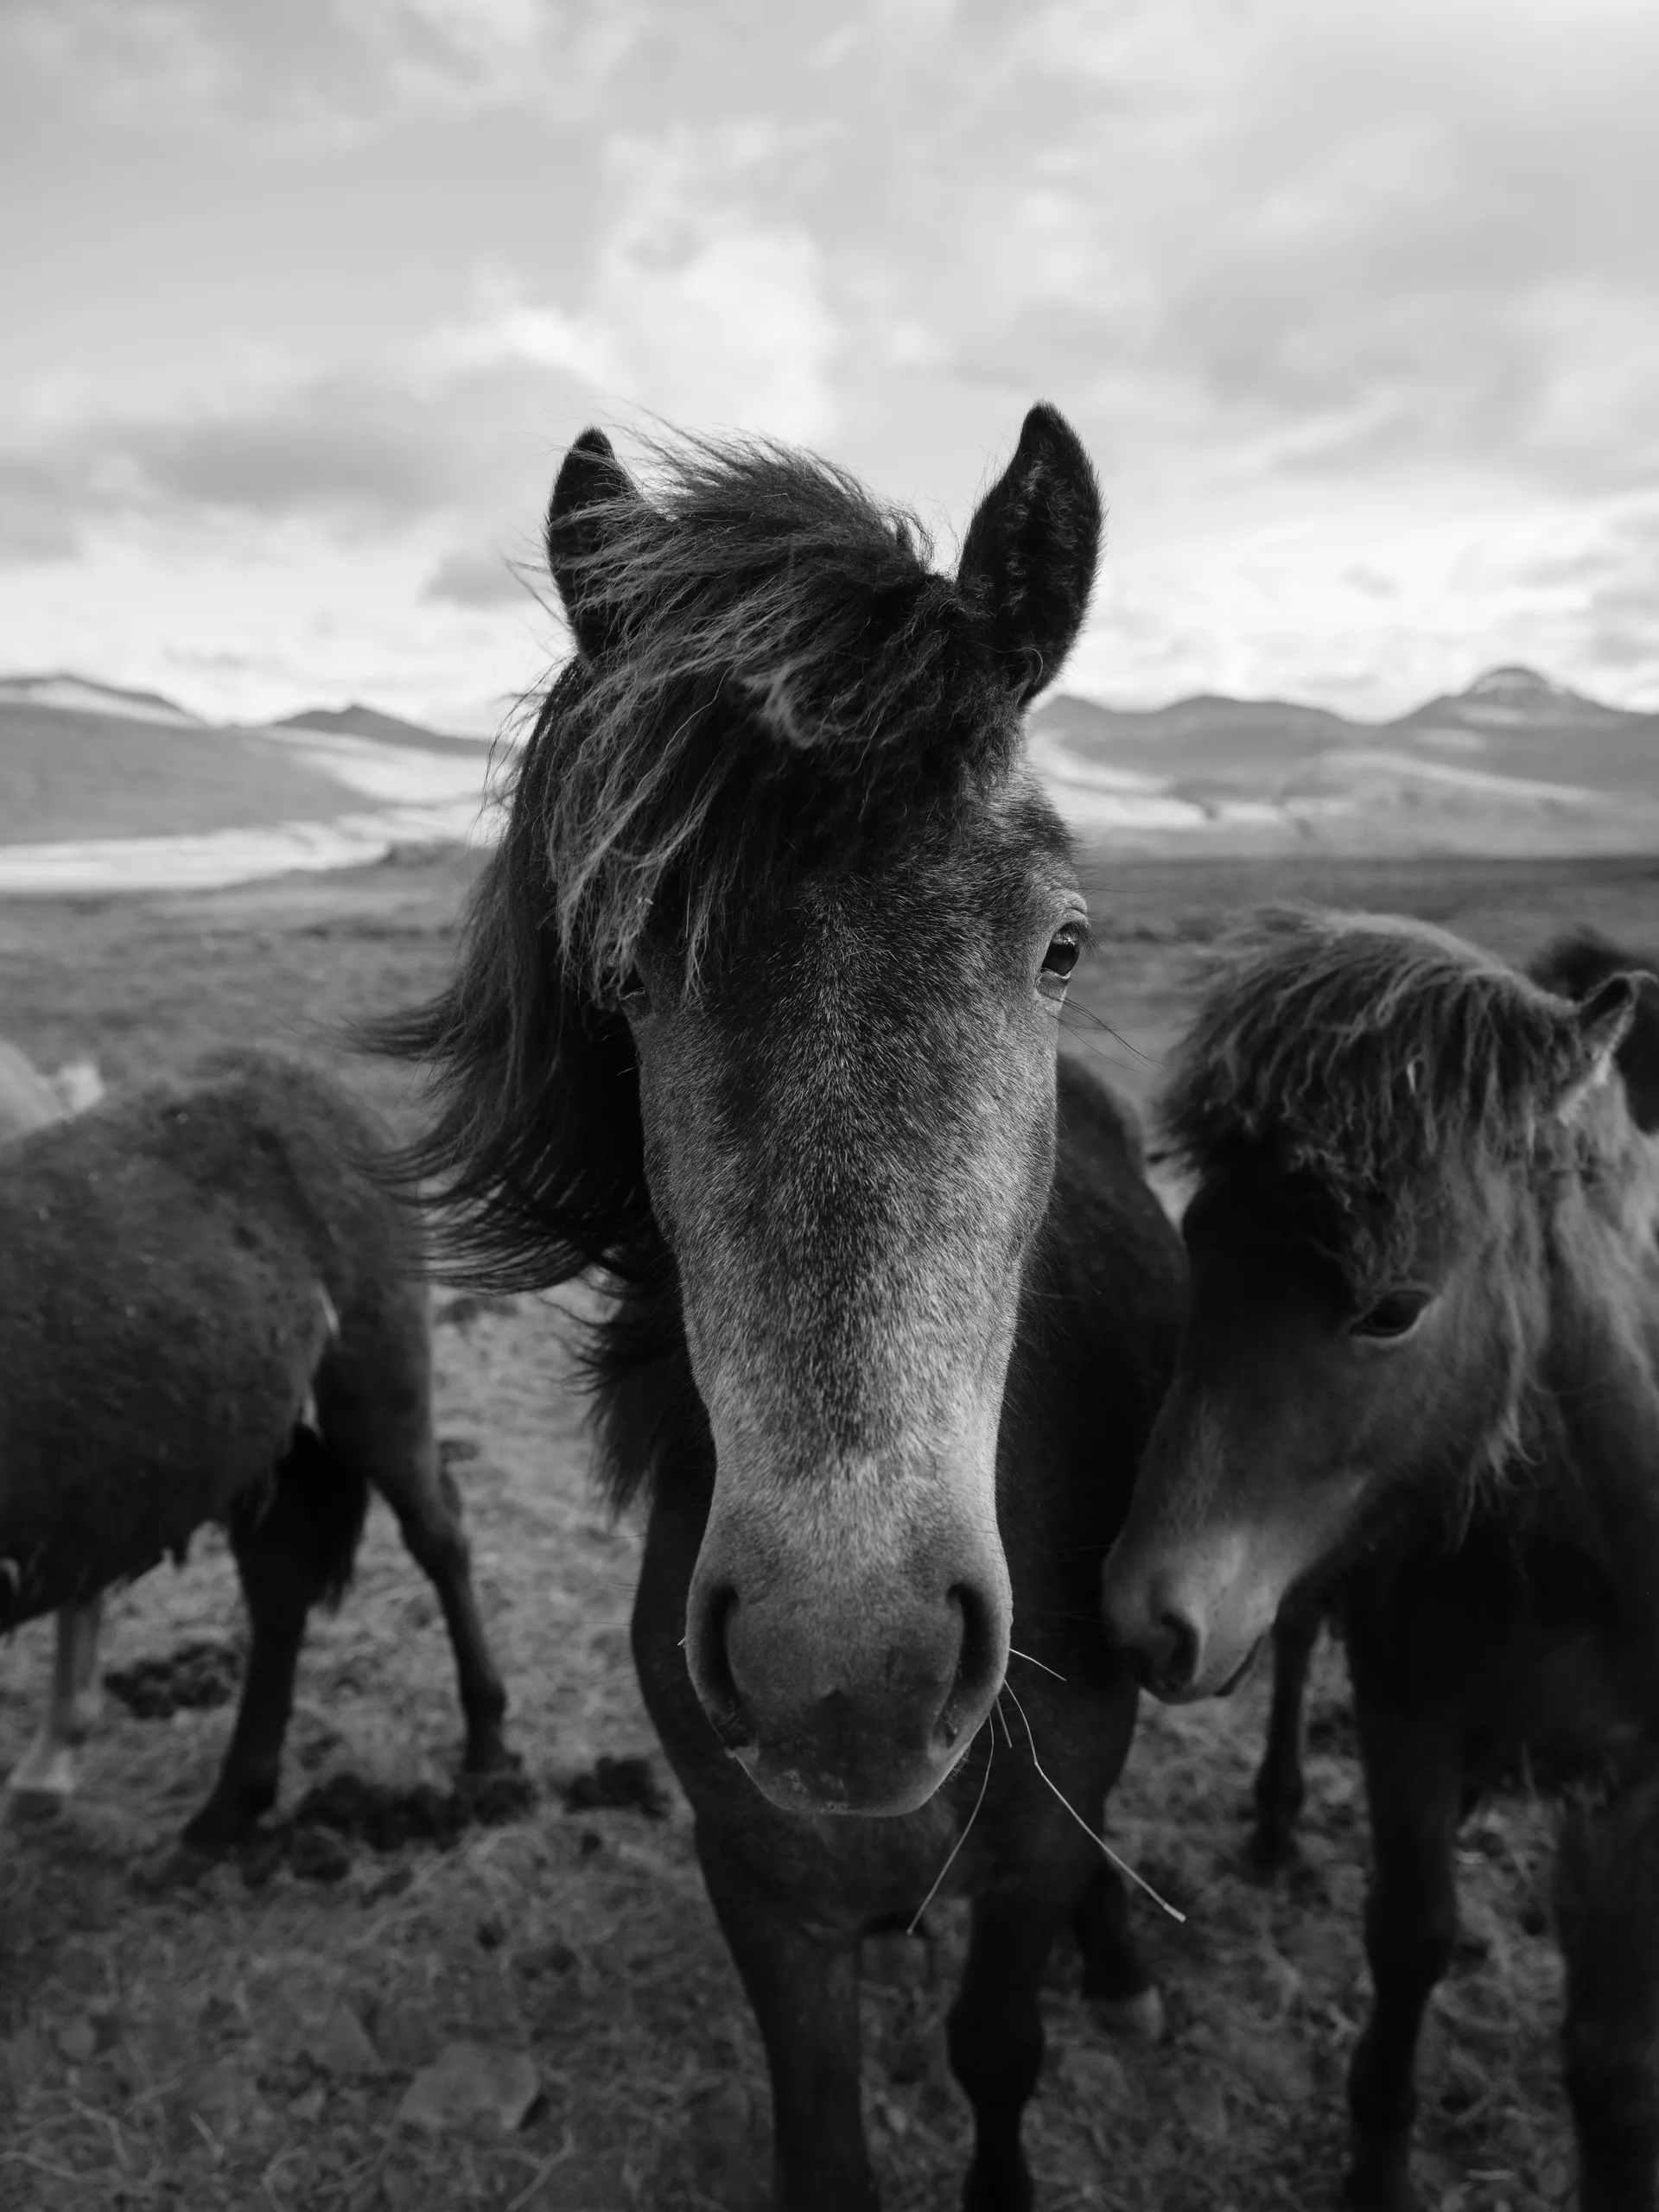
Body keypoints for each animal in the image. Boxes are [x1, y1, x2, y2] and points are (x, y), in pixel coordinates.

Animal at [0, 1046, 516, 1860]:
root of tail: (302, 1070)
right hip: (259, 1441)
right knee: (281, 1585)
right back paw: (229, 1806)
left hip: (376, 1385)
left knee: (438, 1537)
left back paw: (486, 1744)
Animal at [375, 407, 1187, 2211]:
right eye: (621, 972)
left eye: (1064, 947)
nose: (849, 1670)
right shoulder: (761, 1891)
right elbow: (823, 2143)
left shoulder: (1035, 1849)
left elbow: (998, 2049)